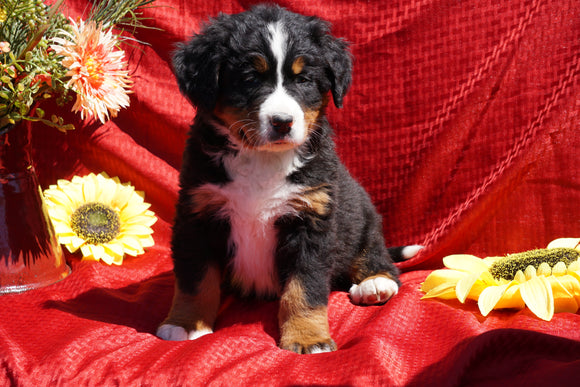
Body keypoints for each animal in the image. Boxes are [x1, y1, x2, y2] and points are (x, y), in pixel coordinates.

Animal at [156, 4, 424, 354]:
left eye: (304, 79)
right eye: (250, 78)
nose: (282, 122)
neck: (262, 158)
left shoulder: (311, 220)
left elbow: (304, 289)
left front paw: (309, 338)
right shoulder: (198, 214)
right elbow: (195, 280)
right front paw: (186, 325)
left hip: (361, 218)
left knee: (375, 254)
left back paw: (374, 283)